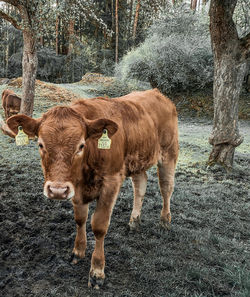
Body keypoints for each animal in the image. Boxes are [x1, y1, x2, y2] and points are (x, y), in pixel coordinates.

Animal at [5, 88, 178, 286]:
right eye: (40, 144)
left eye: (81, 145)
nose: (57, 190)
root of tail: (158, 94)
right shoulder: (76, 187)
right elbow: (80, 218)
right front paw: (78, 251)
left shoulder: (111, 182)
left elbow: (99, 226)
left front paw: (97, 270)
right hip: (138, 160)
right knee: (140, 185)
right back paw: (134, 221)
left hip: (169, 153)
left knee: (166, 188)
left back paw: (165, 221)